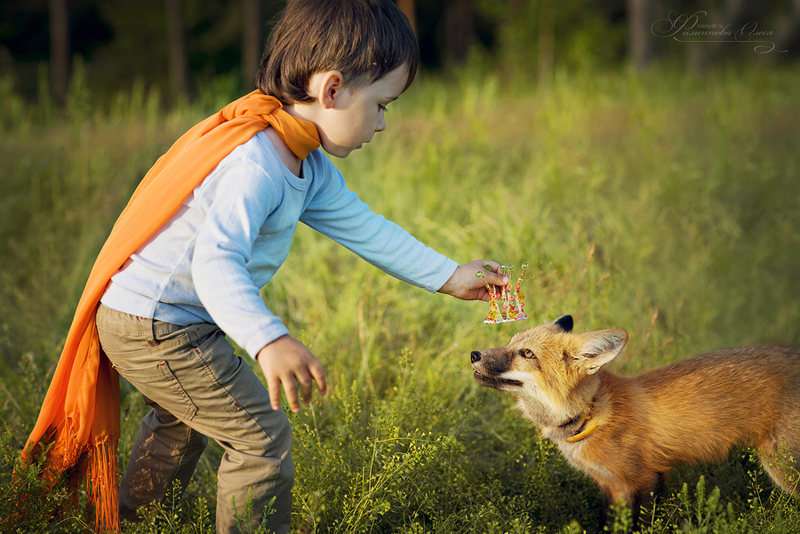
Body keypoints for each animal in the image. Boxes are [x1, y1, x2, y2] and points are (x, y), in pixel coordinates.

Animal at [468, 316, 800, 528]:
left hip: (783, 469)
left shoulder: (646, 478)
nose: (474, 354)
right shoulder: (611, 486)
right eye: (509, 342)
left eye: (526, 354)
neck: (591, 414)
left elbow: (640, 526)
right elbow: (610, 525)